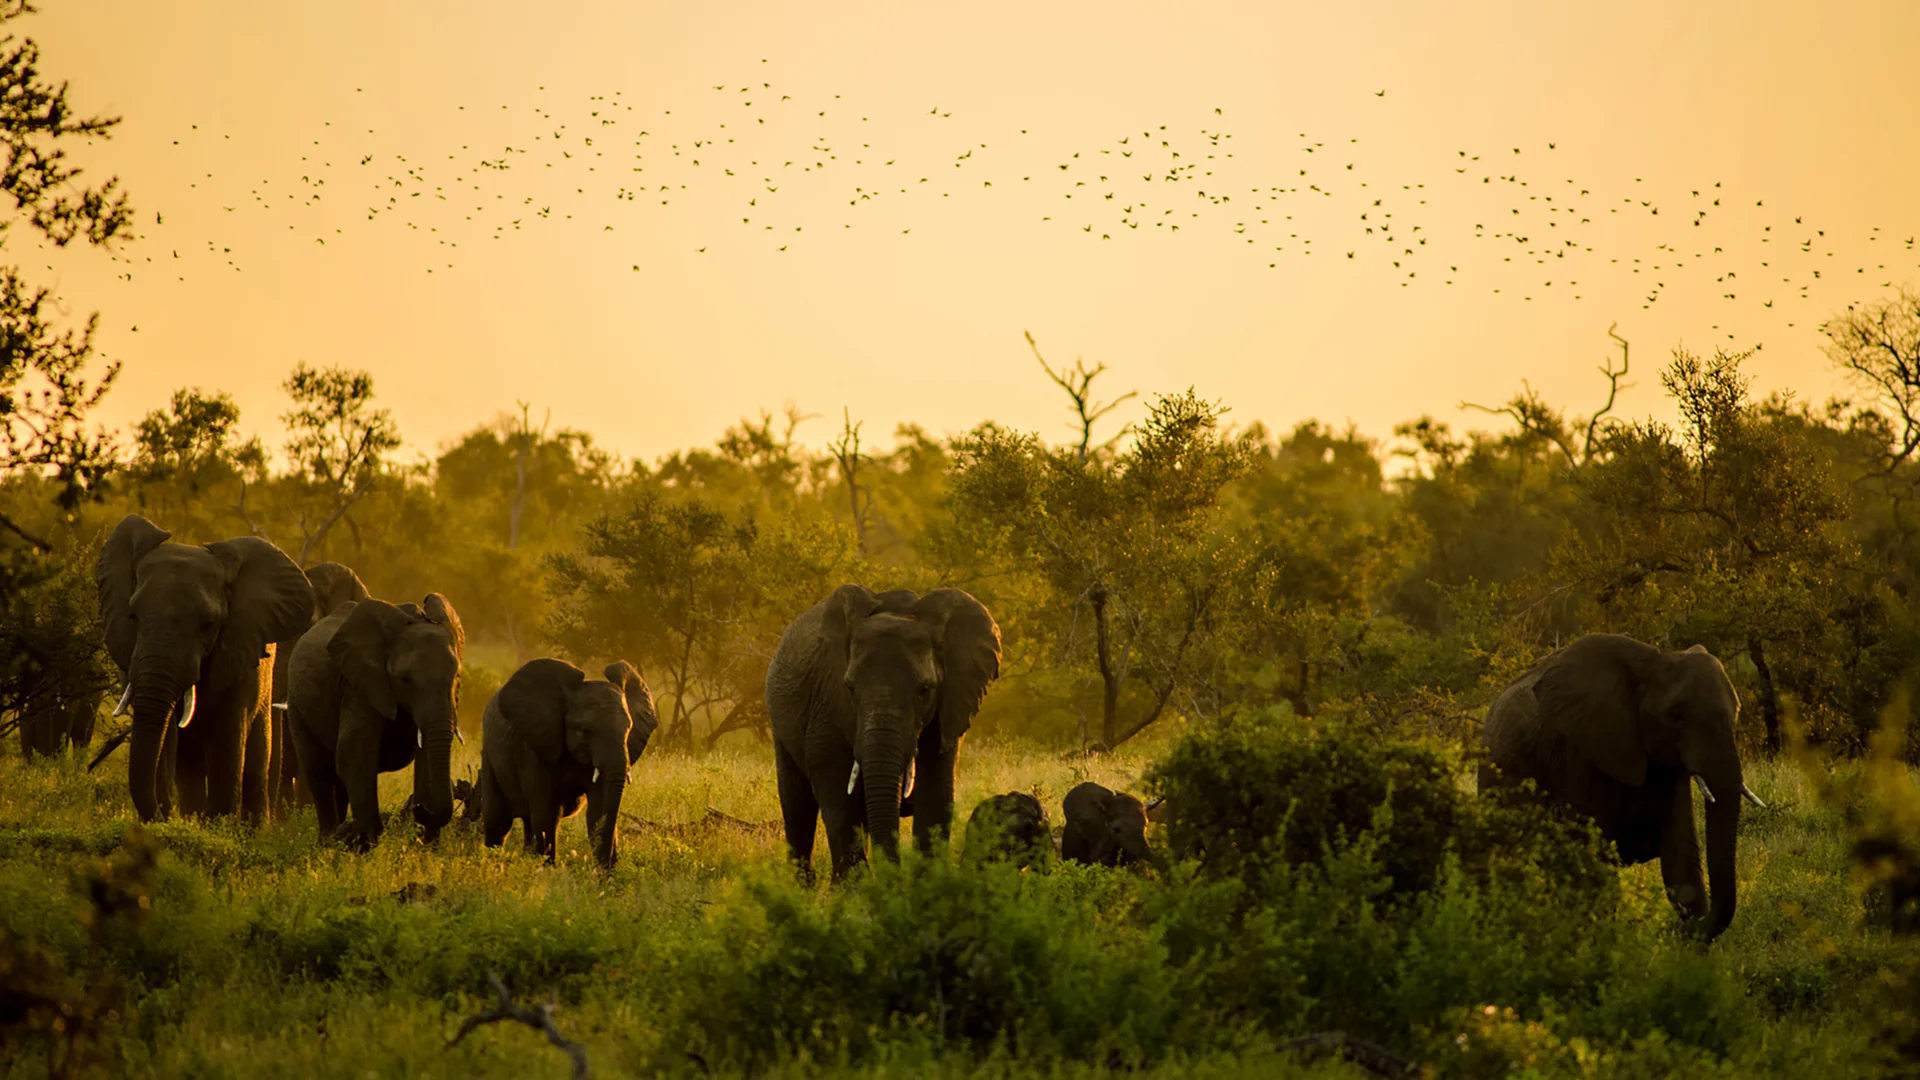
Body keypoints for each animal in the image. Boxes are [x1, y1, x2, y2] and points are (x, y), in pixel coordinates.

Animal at [95, 515, 315, 822]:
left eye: (208, 624)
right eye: (133, 616)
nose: (163, 815)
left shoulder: (238, 656)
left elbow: (227, 739)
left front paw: (218, 825)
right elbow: (166, 737)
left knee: (254, 767)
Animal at [283, 595, 464, 849]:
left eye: (457, 676)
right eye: (405, 679)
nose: (418, 808)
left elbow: (426, 756)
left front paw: (428, 847)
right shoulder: (357, 685)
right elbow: (355, 754)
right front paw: (363, 844)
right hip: (296, 703)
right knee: (319, 771)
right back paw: (329, 841)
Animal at [479, 658, 658, 868]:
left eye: (629, 729)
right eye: (586, 731)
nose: (611, 867)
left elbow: (597, 812)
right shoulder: (534, 749)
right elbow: (545, 813)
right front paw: (547, 870)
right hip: (488, 755)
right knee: (498, 821)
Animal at [766, 585, 1001, 881]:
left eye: (925, 690)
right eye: (850, 688)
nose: (893, 875)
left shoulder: (948, 709)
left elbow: (936, 795)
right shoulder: (827, 703)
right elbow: (837, 796)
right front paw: (856, 888)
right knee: (798, 808)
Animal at [1479, 633, 1765, 940]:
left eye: (1737, 710)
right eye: (1676, 715)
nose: (1673, 931)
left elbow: (1679, 853)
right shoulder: (1577, 752)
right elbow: (1589, 862)